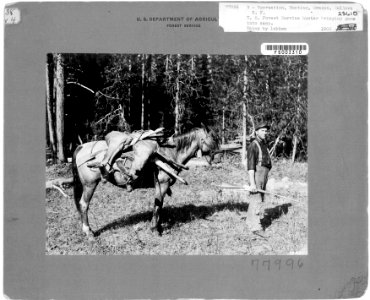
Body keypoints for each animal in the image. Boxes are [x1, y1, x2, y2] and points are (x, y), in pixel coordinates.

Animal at [72, 126, 220, 239]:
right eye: (213, 138)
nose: (218, 158)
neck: (170, 152)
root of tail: (81, 147)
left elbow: (159, 205)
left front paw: (157, 227)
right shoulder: (163, 184)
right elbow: (157, 205)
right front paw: (155, 229)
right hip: (90, 185)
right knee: (84, 204)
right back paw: (88, 232)